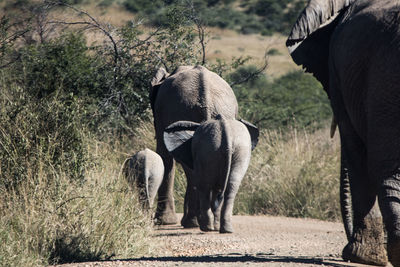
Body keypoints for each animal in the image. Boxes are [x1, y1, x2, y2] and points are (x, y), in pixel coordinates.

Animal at [149, 65, 238, 228]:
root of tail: (207, 97)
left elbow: (164, 155)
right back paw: (206, 222)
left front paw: (163, 222)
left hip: (182, 111)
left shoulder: (160, 113)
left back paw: (194, 222)